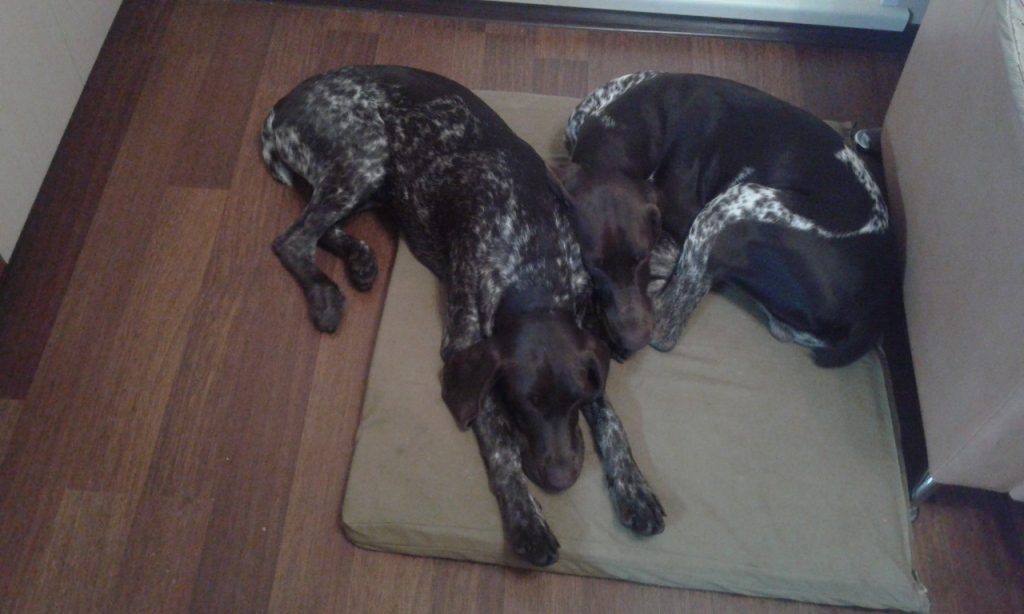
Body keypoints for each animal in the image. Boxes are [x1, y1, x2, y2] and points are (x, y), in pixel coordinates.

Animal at [261, 65, 664, 566]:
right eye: (521, 405)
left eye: (574, 402)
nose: (561, 481)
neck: (533, 265)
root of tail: (282, 104)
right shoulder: (466, 349)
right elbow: (502, 448)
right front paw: (527, 520)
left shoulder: (586, 344)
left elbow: (610, 422)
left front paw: (634, 488)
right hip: (365, 158)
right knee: (294, 238)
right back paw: (324, 295)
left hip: (374, 182)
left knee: (321, 228)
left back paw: (358, 259)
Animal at [557, 72, 900, 368]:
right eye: (594, 266)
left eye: (639, 258)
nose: (631, 338)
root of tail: (873, 309)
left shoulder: (685, 225)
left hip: (730, 204)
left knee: (666, 328)